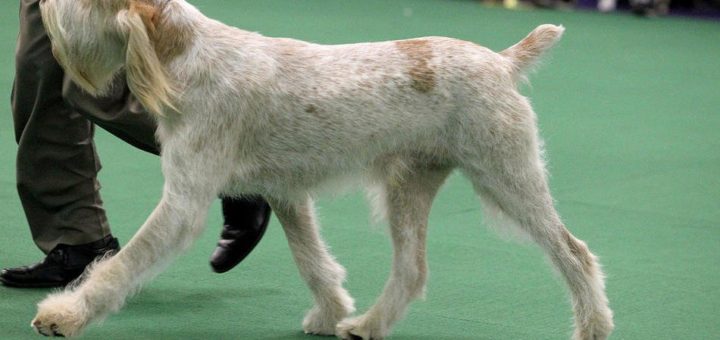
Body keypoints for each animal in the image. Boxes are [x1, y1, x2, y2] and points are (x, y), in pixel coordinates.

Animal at [35, 1, 612, 338]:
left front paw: (64, 315)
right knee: (412, 270)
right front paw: (331, 312)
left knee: (575, 253)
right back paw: (367, 325)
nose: (40, 5)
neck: (187, 55)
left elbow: (119, 266)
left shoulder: (182, 202)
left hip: (508, 179)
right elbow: (312, 262)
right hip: (408, 188)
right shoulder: (287, 194)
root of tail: (502, 60)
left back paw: (592, 328)